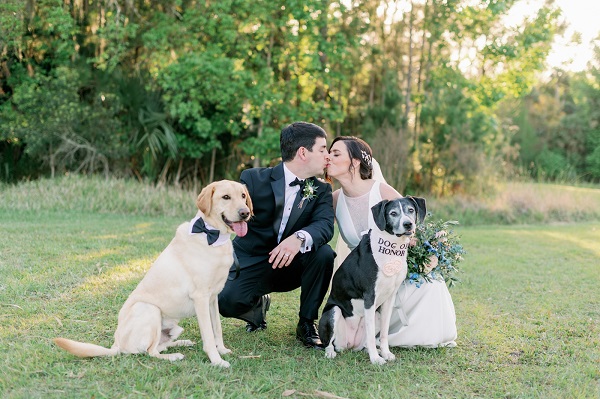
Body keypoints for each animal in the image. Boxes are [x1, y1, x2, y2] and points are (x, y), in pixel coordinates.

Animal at [54, 181, 253, 368]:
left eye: (243, 196)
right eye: (226, 197)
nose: (245, 213)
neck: (212, 235)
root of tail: (116, 344)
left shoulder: (213, 298)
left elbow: (217, 329)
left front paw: (223, 350)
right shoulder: (201, 298)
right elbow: (209, 335)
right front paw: (217, 360)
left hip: (173, 327)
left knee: (159, 345)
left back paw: (181, 343)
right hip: (149, 309)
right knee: (151, 352)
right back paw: (173, 356)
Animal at [318, 197, 426, 366]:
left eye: (411, 210)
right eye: (393, 213)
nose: (408, 224)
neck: (392, 249)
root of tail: (349, 345)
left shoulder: (390, 298)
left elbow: (384, 333)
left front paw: (386, 353)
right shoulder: (370, 296)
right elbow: (370, 336)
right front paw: (375, 359)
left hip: (377, 315)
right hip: (333, 312)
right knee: (329, 342)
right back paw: (331, 352)